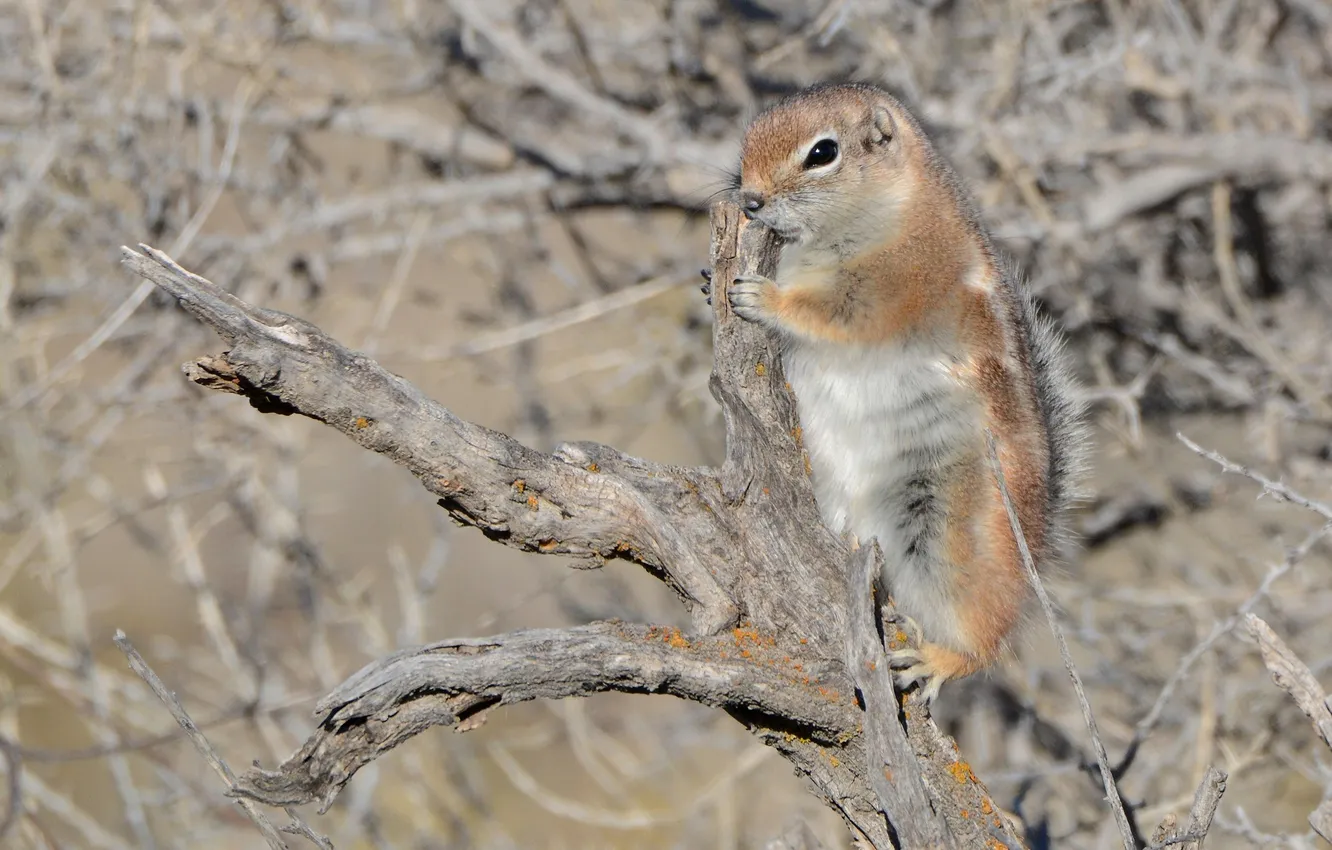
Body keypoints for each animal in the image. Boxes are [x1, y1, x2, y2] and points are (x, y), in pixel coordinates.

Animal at [703, 83, 1086, 703]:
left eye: (822, 152)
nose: (751, 201)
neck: (895, 208)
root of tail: (1038, 545)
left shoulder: (894, 287)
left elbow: (833, 313)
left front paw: (766, 298)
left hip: (951, 537)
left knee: (986, 636)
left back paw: (939, 659)